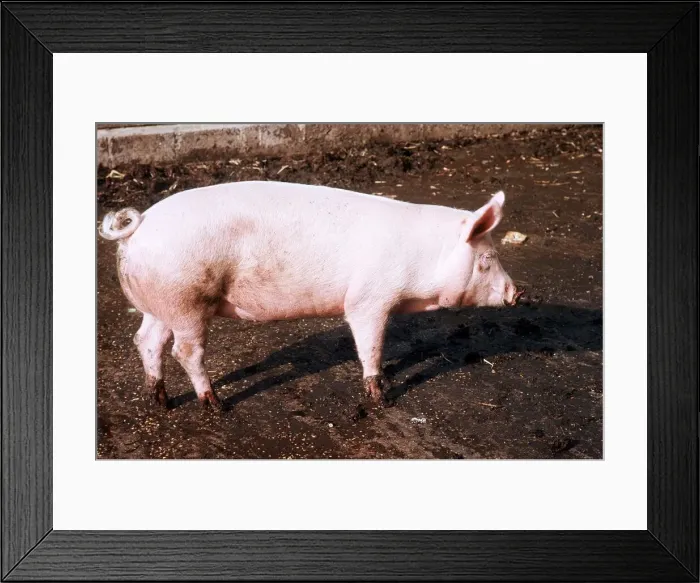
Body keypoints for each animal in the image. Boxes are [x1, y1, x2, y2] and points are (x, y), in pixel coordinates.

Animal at [99, 180, 521, 411]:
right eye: (487, 259)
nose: (517, 293)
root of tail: (140, 226)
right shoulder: (368, 298)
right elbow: (371, 346)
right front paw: (382, 399)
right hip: (187, 300)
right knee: (185, 351)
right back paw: (218, 406)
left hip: (161, 304)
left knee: (146, 340)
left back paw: (161, 400)